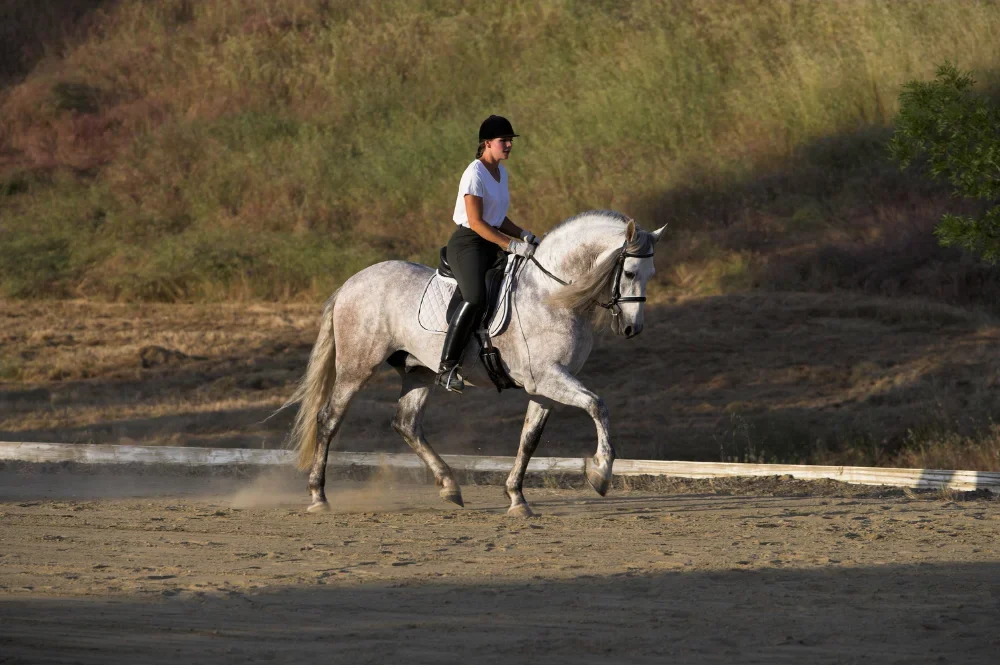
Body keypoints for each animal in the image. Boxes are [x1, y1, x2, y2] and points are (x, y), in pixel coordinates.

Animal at [284, 210, 666, 517]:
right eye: (629, 272)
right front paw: (600, 473)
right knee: (329, 418)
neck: (554, 295)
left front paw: (517, 499)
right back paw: (318, 496)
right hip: (357, 368)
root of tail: (352, 282)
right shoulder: (548, 377)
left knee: (406, 424)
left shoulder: (545, 385)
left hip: (418, 371)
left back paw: (449, 486)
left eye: (651, 273)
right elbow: (597, 405)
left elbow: (530, 439)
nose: (632, 329)